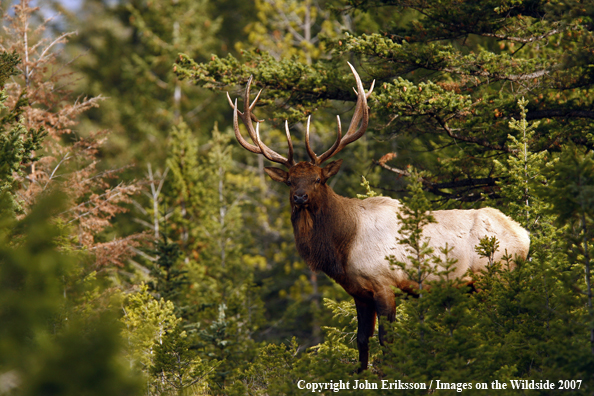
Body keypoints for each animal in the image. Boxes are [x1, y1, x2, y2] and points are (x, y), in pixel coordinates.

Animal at [225, 63, 528, 372]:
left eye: (318, 179)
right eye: (289, 181)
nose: (300, 197)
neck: (342, 247)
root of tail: (524, 236)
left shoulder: (385, 282)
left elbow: (387, 340)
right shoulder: (359, 292)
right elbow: (361, 339)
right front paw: (360, 372)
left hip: (496, 276)